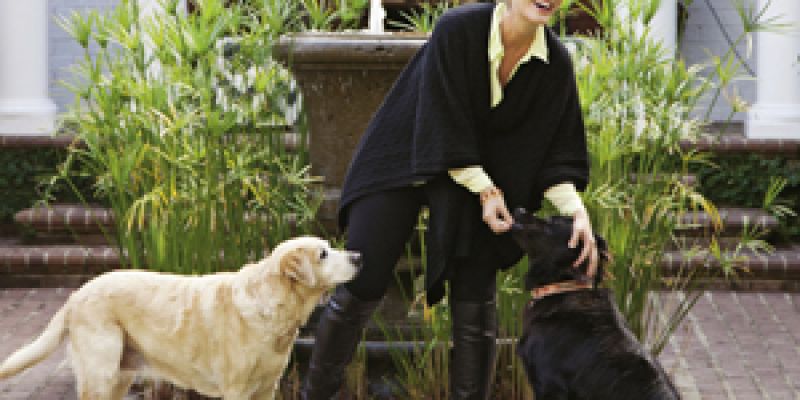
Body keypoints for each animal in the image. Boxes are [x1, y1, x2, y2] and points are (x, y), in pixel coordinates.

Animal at [0, 236, 360, 400]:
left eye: (330, 248)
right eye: (323, 254)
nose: (358, 255)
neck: (273, 306)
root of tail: (76, 295)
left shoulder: (266, 388)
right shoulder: (237, 390)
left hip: (120, 374)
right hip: (101, 371)